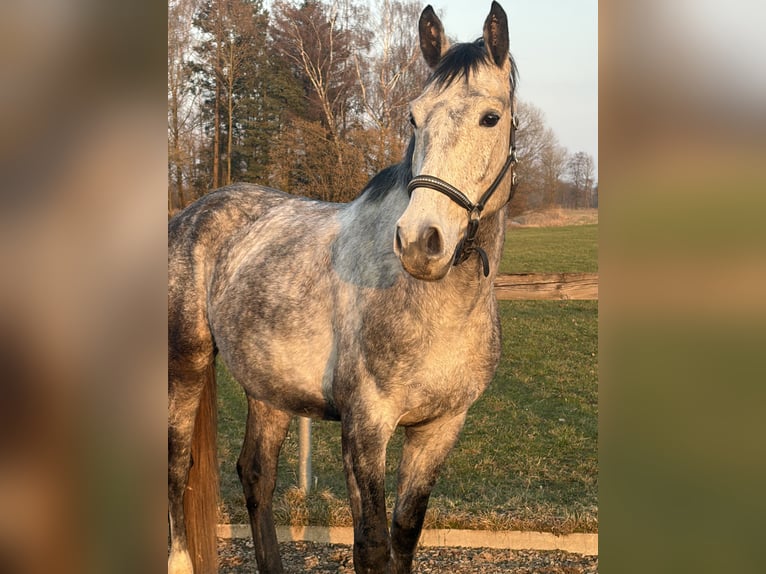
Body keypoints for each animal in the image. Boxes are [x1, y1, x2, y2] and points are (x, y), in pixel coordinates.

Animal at [168, 3, 518, 572]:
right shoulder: (366, 427)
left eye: (491, 117)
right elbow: (372, 545)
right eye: (414, 117)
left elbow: (403, 536)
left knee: (255, 474)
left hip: (268, 388)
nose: (420, 241)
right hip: (186, 363)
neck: (435, 308)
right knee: (177, 465)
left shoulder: (439, 428)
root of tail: (192, 213)